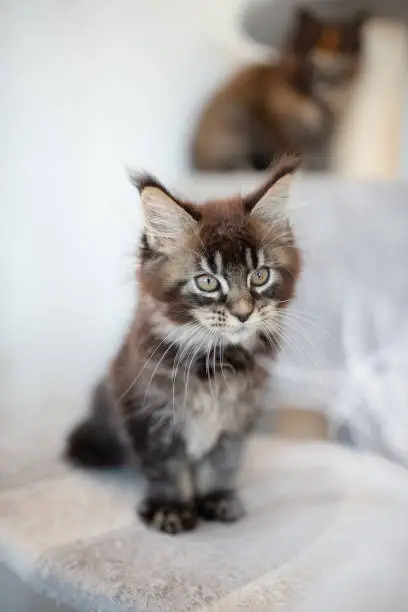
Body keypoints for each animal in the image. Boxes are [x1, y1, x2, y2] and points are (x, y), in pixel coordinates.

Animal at [65, 158, 302, 536]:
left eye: (260, 276)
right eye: (207, 282)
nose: (243, 312)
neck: (216, 362)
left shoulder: (238, 418)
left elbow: (221, 464)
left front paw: (216, 499)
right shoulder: (148, 411)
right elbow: (166, 468)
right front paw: (172, 509)